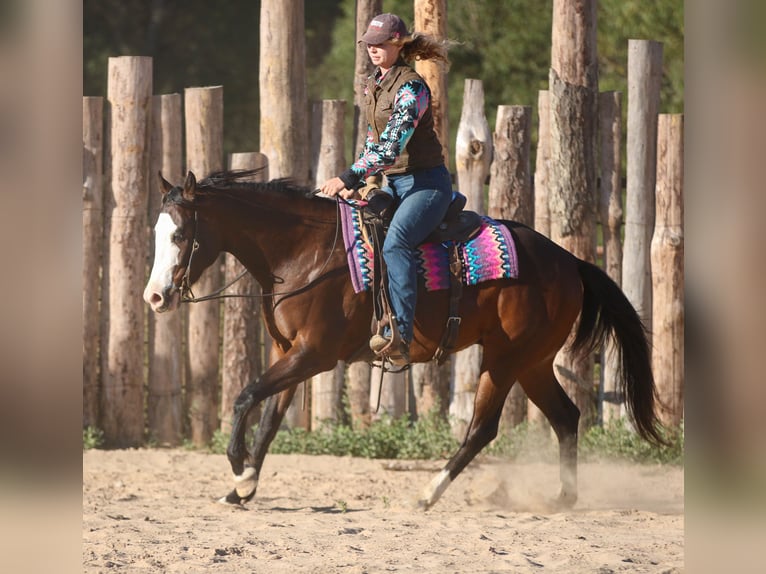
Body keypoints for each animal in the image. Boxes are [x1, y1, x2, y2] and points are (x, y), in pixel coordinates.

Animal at [143, 169, 665, 510]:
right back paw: (562, 498)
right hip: (532, 363)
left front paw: (237, 471)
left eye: (181, 234)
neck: (304, 254)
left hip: (505, 360)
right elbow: (269, 417)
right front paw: (245, 485)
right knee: (565, 418)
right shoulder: (287, 352)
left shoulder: (314, 355)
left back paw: (428, 493)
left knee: (483, 429)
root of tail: (569, 262)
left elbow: (245, 396)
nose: (155, 296)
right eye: (156, 233)